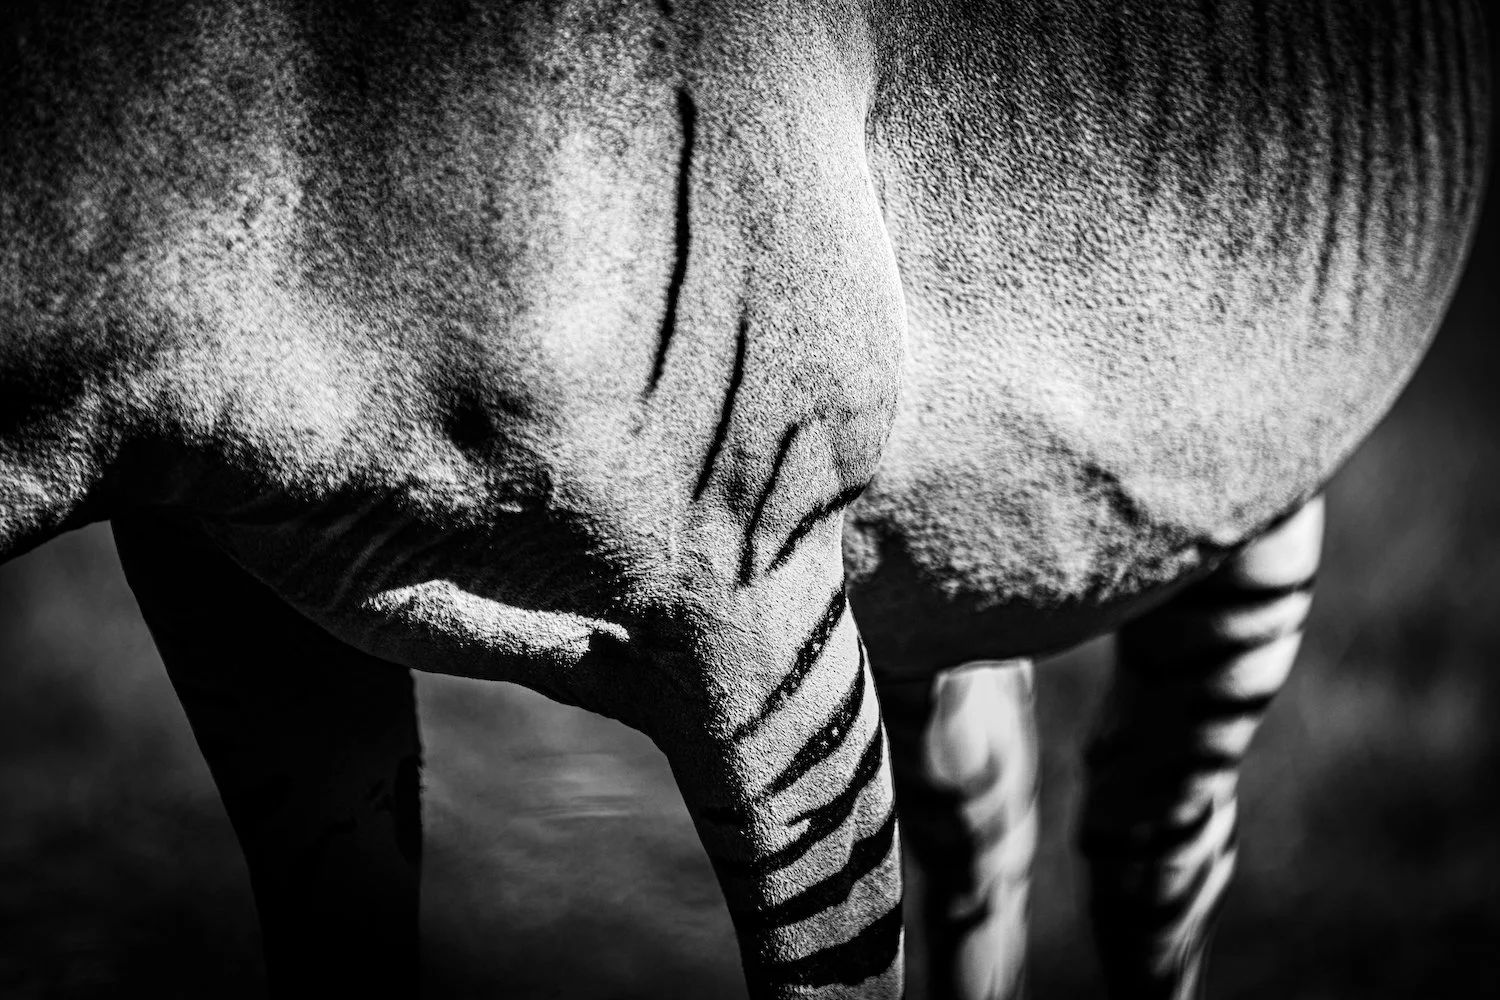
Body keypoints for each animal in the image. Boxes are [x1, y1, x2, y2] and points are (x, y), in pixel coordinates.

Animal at [0, 1, 1489, 998]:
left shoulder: (758, 611)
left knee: (1154, 843)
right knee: (991, 801)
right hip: (939, 555)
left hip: (1258, 465)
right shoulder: (234, 587)